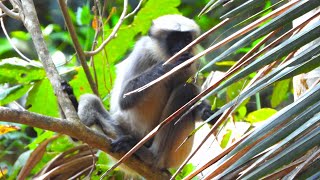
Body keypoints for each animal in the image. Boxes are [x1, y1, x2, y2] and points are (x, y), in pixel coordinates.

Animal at [64, 14, 220, 170]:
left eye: (187, 39)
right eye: (174, 39)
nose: (182, 47)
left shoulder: (191, 63)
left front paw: (208, 113)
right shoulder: (143, 51)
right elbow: (124, 100)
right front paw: (171, 64)